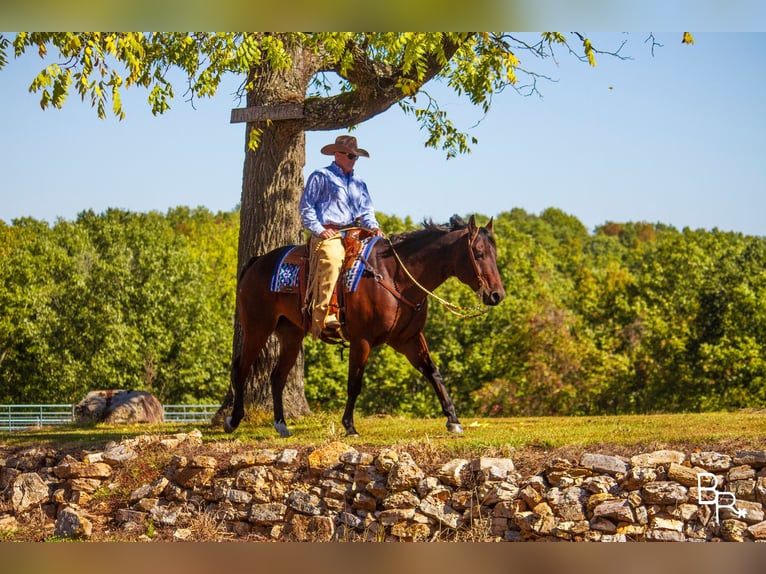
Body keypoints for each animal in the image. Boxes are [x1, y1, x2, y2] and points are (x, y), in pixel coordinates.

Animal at [225, 215, 508, 436]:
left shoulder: (409, 339)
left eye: (495, 254)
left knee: (277, 376)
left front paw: (453, 420)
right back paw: (234, 419)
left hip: (291, 335)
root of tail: (256, 262)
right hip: (257, 328)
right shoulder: (362, 340)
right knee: (241, 367)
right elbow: (355, 382)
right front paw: (349, 426)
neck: (395, 276)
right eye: (479, 254)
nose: (497, 295)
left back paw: (281, 425)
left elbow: (432, 372)